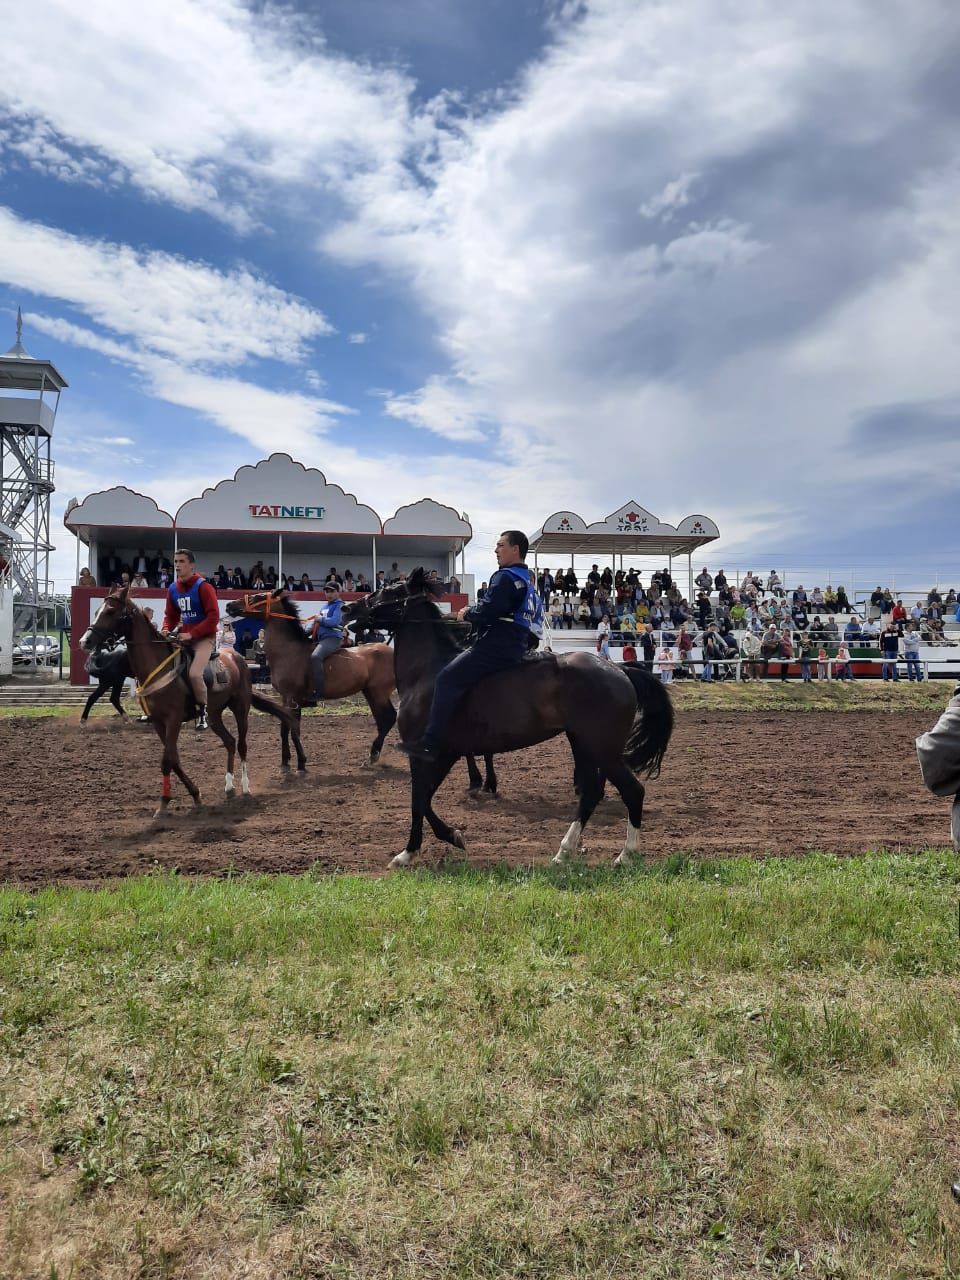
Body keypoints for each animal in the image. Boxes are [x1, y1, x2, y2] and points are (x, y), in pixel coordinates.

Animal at [81, 586, 295, 814]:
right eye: (97, 611)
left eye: (110, 611)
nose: (85, 641)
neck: (157, 667)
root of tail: (238, 658)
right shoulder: (158, 722)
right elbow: (173, 760)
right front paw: (193, 794)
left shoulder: (173, 719)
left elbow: (168, 760)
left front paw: (165, 803)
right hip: (214, 715)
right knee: (229, 742)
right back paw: (229, 786)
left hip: (240, 708)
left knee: (242, 745)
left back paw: (245, 787)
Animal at [225, 586, 496, 788]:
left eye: (258, 597)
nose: (229, 606)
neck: (288, 651)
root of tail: (389, 649)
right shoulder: (286, 698)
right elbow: (286, 729)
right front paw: (288, 764)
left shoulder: (292, 697)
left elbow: (292, 730)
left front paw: (299, 764)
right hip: (370, 693)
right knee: (384, 719)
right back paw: (373, 756)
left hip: (377, 691)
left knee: (388, 718)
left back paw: (374, 756)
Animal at [345, 573, 675, 865]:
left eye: (387, 591)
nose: (349, 608)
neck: (428, 673)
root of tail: (619, 670)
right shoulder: (447, 754)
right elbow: (423, 799)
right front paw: (451, 835)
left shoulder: (427, 754)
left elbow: (418, 800)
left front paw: (410, 850)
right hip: (583, 745)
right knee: (591, 794)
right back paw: (565, 851)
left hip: (602, 751)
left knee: (632, 791)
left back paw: (626, 854)